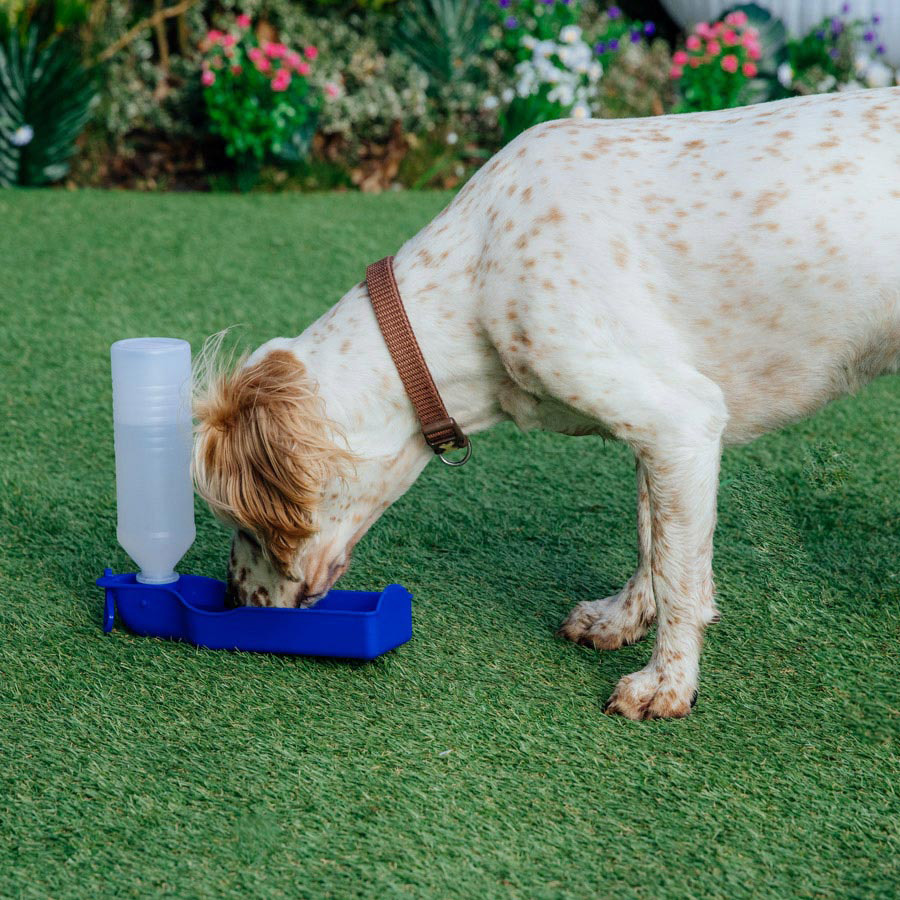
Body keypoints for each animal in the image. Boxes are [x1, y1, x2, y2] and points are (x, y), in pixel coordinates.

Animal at [193, 88, 900, 720]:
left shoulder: (682, 419)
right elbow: (652, 541)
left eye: (245, 524)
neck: (476, 277)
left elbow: (678, 573)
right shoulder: (657, 434)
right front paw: (622, 618)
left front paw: (667, 684)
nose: (232, 599)